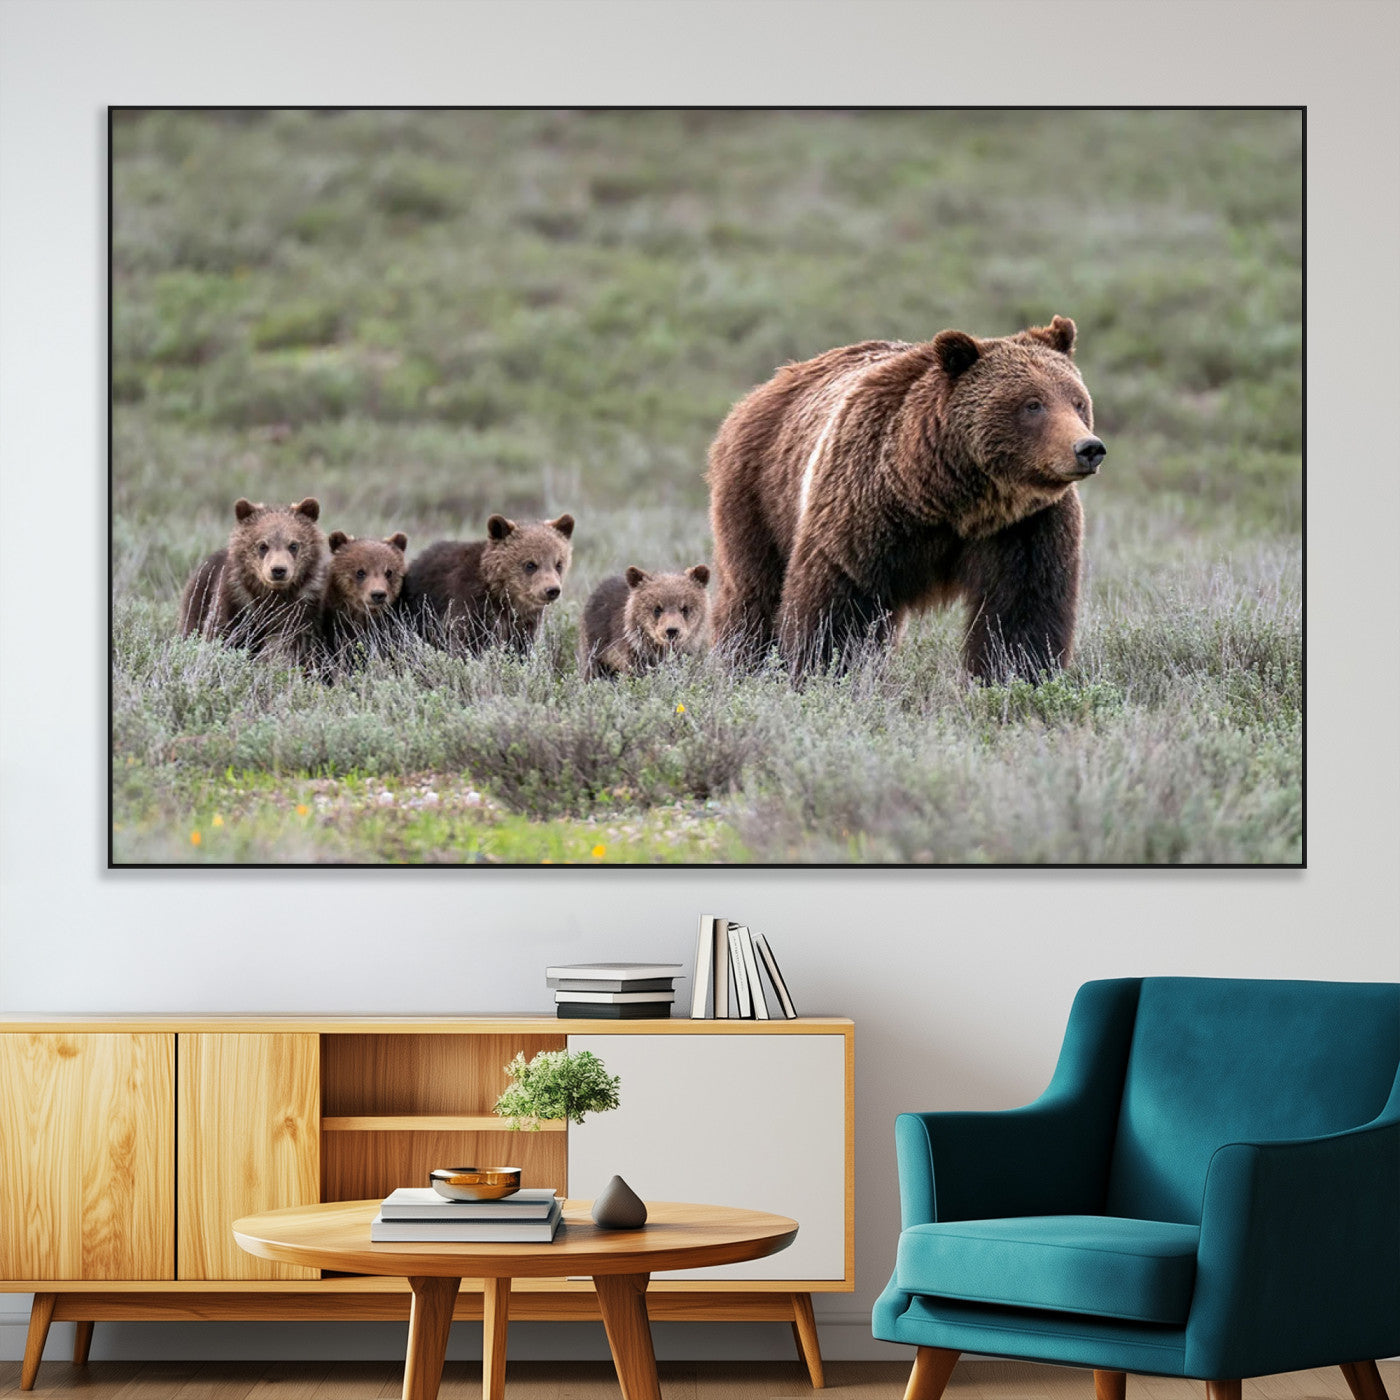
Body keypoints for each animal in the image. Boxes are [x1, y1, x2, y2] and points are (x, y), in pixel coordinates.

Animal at [178, 497, 329, 661]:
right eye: (262, 545)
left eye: (293, 545)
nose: (278, 570)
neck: (273, 594)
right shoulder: (236, 600)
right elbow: (220, 632)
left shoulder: (303, 607)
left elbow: (297, 643)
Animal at [401, 513, 575, 654]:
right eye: (530, 564)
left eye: (559, 564)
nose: (552, 590)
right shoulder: (470, 606)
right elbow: (468, 642)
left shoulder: (524, 621)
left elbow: (521, 646)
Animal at [705, 315, 1105, 681]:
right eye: (1032, 404)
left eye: (1077, 401)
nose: (1088, 448)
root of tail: (766, 387)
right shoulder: (864, 509)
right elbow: (837, 603)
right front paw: (824, 672)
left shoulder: (1025, 525)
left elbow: (1023, 611)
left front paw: (1015, 676)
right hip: (760, 493)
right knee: (753, 592)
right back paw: (743, 662)